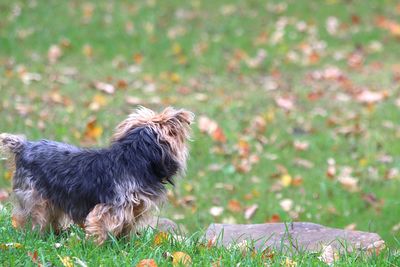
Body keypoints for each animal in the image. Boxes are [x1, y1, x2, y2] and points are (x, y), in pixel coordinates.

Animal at [0, 107, 194, 245]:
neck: (134, 159)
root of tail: (23, 146)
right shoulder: (110, 208)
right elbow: (100, 227)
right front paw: (96, 247)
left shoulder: (133, 210)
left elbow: (126, 228)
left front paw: (124, 245)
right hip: (34, 196)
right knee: (31, 217)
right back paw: (33, 236)